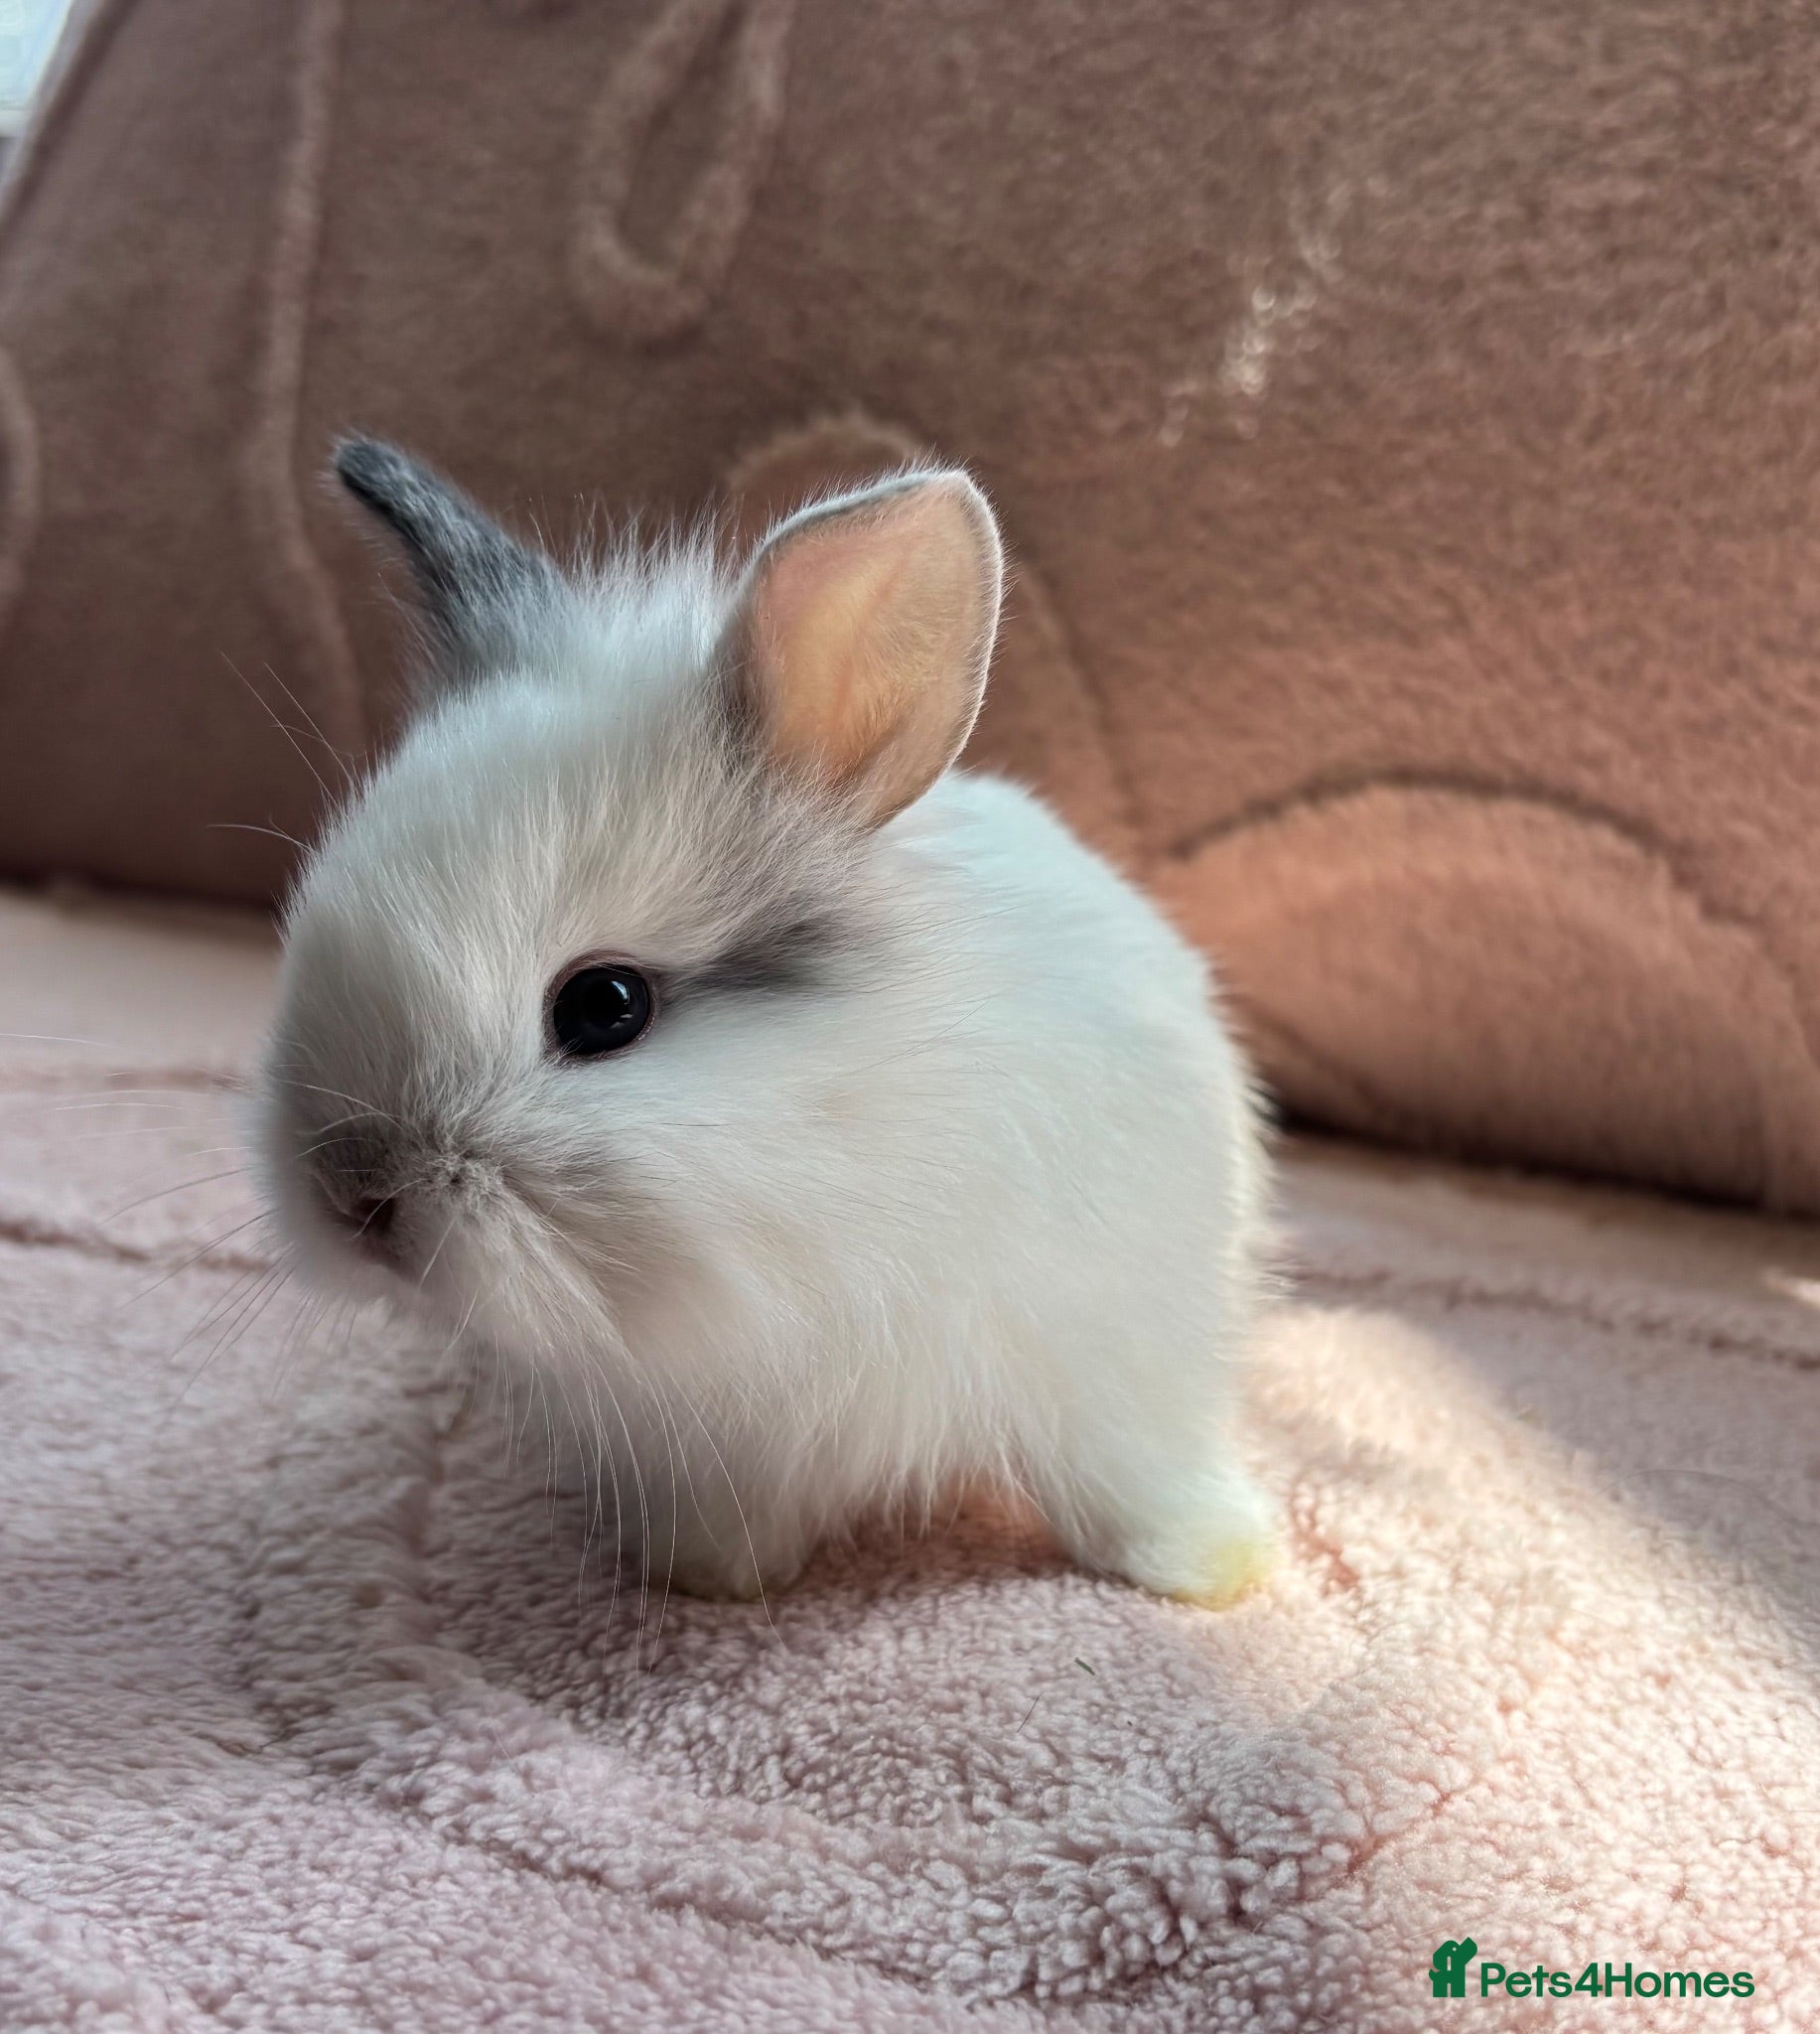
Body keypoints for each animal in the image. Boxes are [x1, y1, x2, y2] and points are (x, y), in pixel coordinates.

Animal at [257, 438, 1277, 1607]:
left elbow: (1134, 1481)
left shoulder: (1114, 1354)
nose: (351, 1194)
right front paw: (703, 1574)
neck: (840, 1150)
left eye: (605, 1006)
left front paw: (1218, 1570)